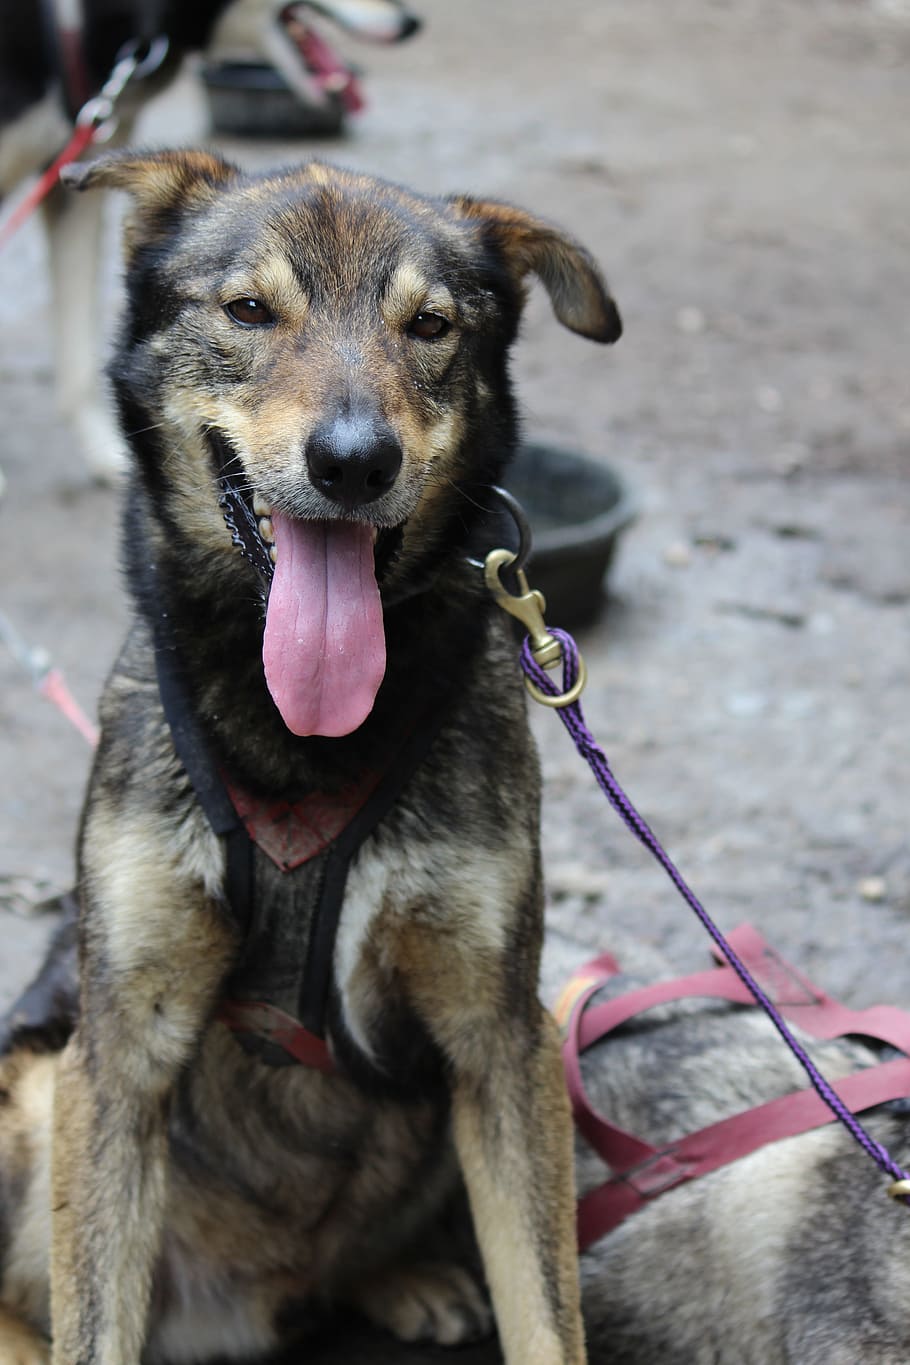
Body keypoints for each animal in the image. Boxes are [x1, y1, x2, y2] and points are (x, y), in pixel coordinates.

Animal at [0, 154, 622, 1359]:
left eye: (429, 326)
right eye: (249, 310)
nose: (353, 463)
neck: (303, 738)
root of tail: (239, 1304)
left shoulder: (500, 1041)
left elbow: (545, 1309)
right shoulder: (117, 1054)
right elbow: (91, 1324)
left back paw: (401, 1279)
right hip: (36, 1092)